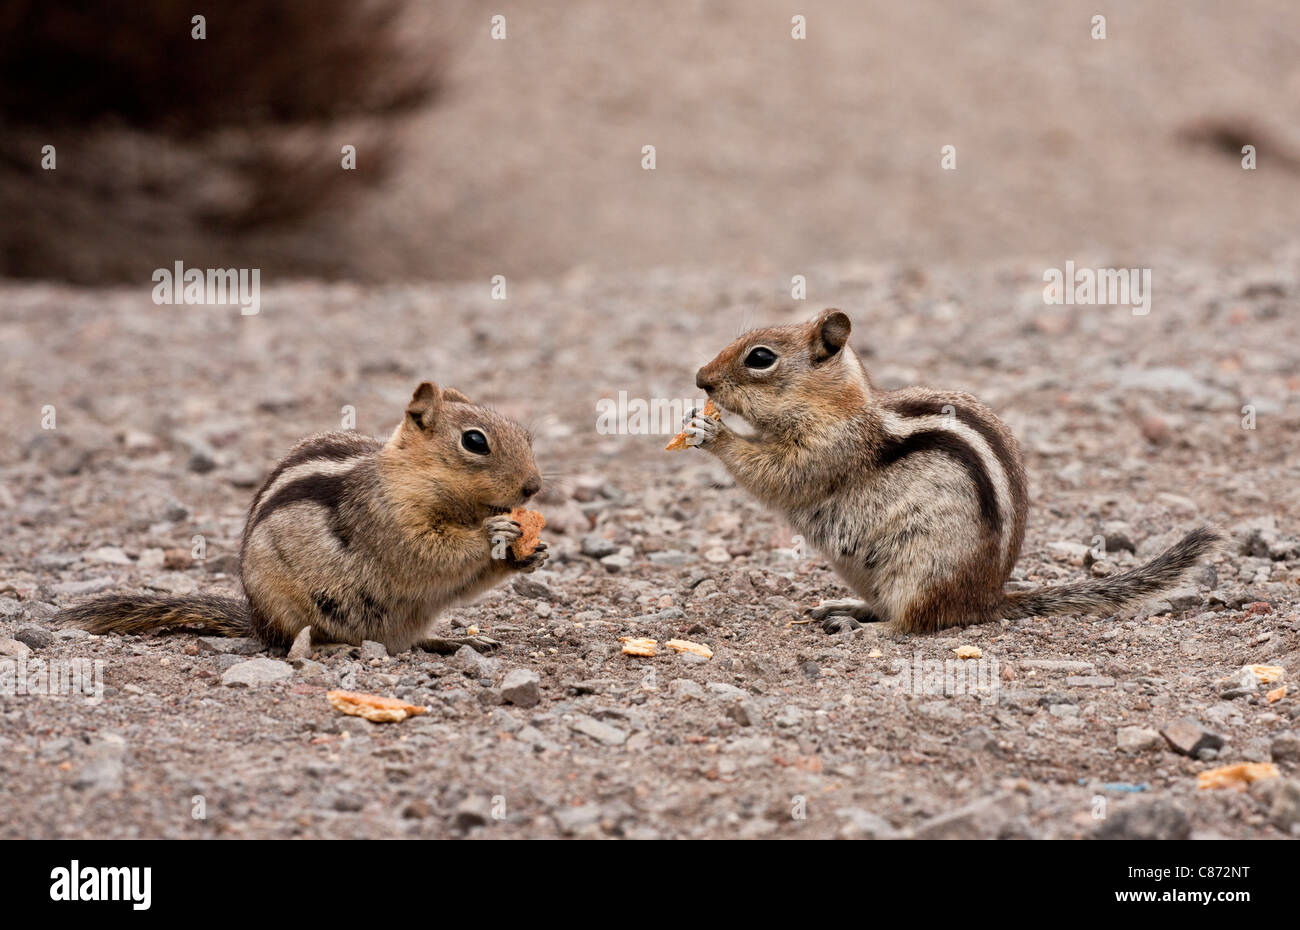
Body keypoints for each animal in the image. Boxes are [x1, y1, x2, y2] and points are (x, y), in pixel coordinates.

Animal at [58, 385, 546, 655]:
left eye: (526, 436)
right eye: (475, 442)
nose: (534, 486)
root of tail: (255, 620)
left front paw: (530, 553)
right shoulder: (388, 520)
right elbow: (429, 553)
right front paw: (493, 534)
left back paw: (459, 641)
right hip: (292, 611)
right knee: (294, 643)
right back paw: (331, 649)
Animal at [686, 309, 1222, 637]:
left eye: (760, 357)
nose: (700, 379)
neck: (838, 406)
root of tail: (986, 598)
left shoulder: (828, 450)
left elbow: (777, 474)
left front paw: (713, 433)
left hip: (920, 572)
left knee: (914, 623)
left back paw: (863, 629)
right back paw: (846, 607)